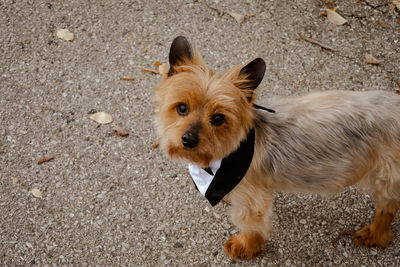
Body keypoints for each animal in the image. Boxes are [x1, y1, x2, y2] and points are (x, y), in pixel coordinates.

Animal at [152, 36, 400, 260]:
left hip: (386, 176)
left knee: (387, 207)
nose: (188, 139)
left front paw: (247, 246)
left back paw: (375, 234)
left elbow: (251, 223)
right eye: (182, 108)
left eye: (218, 118)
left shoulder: (252, 199)